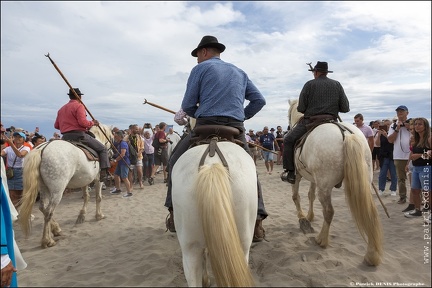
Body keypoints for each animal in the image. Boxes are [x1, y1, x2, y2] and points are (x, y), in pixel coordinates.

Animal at [288, 99, 384, 266]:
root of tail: (345, 134)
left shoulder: (298, 176)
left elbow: (296, 196)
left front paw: (302, 217)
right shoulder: (314, 179)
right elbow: (310, 195)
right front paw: (310, 216)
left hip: (325, 186)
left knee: (329, 212)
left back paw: (322, 240)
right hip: (361, 182)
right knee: (371, 214)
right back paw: (371, 255)